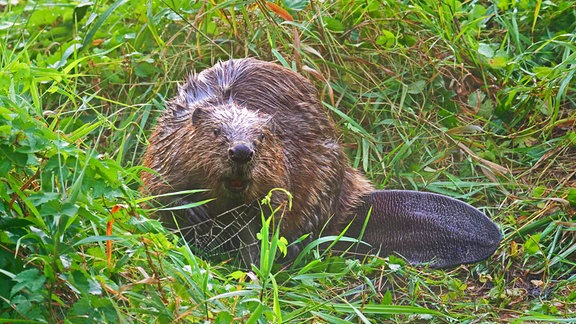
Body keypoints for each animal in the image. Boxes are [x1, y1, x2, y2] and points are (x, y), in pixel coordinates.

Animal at [142, 58, 502, 268]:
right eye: (216, 132)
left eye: (262, 137)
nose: (241, 152)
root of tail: (357, 205)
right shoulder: (166, 143)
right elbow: (159, 189)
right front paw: (194, 211)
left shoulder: (293, 164)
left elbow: (271, 210)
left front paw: (248, 237)